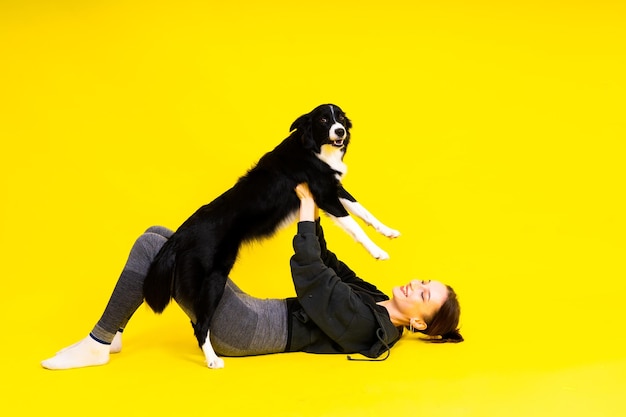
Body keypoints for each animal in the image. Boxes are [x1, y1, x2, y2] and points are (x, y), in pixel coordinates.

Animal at [142, 103, 398, 368]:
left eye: (340, 118)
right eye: (323, 120)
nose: (340, 132)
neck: (314, 148)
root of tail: (181, 234)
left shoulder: (334, 190)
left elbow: (364, 212)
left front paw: (388, 231)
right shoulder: (326, 195)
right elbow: (355, 226)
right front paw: (377, 251)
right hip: (212, 279)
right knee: (201, 325)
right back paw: (212, 360)